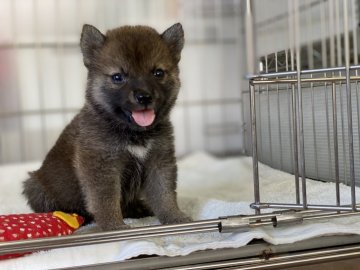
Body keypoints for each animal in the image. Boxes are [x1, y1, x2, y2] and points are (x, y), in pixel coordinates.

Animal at [22, 23, 191, 231]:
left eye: (158, 73)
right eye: (117, 77)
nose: (144, 97)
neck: (133, 133)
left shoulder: (159, 162)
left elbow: (165, 194)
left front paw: (175, 217)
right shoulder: (101, 166)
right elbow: (106, 200)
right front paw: (114, 227)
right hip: (35, 186)